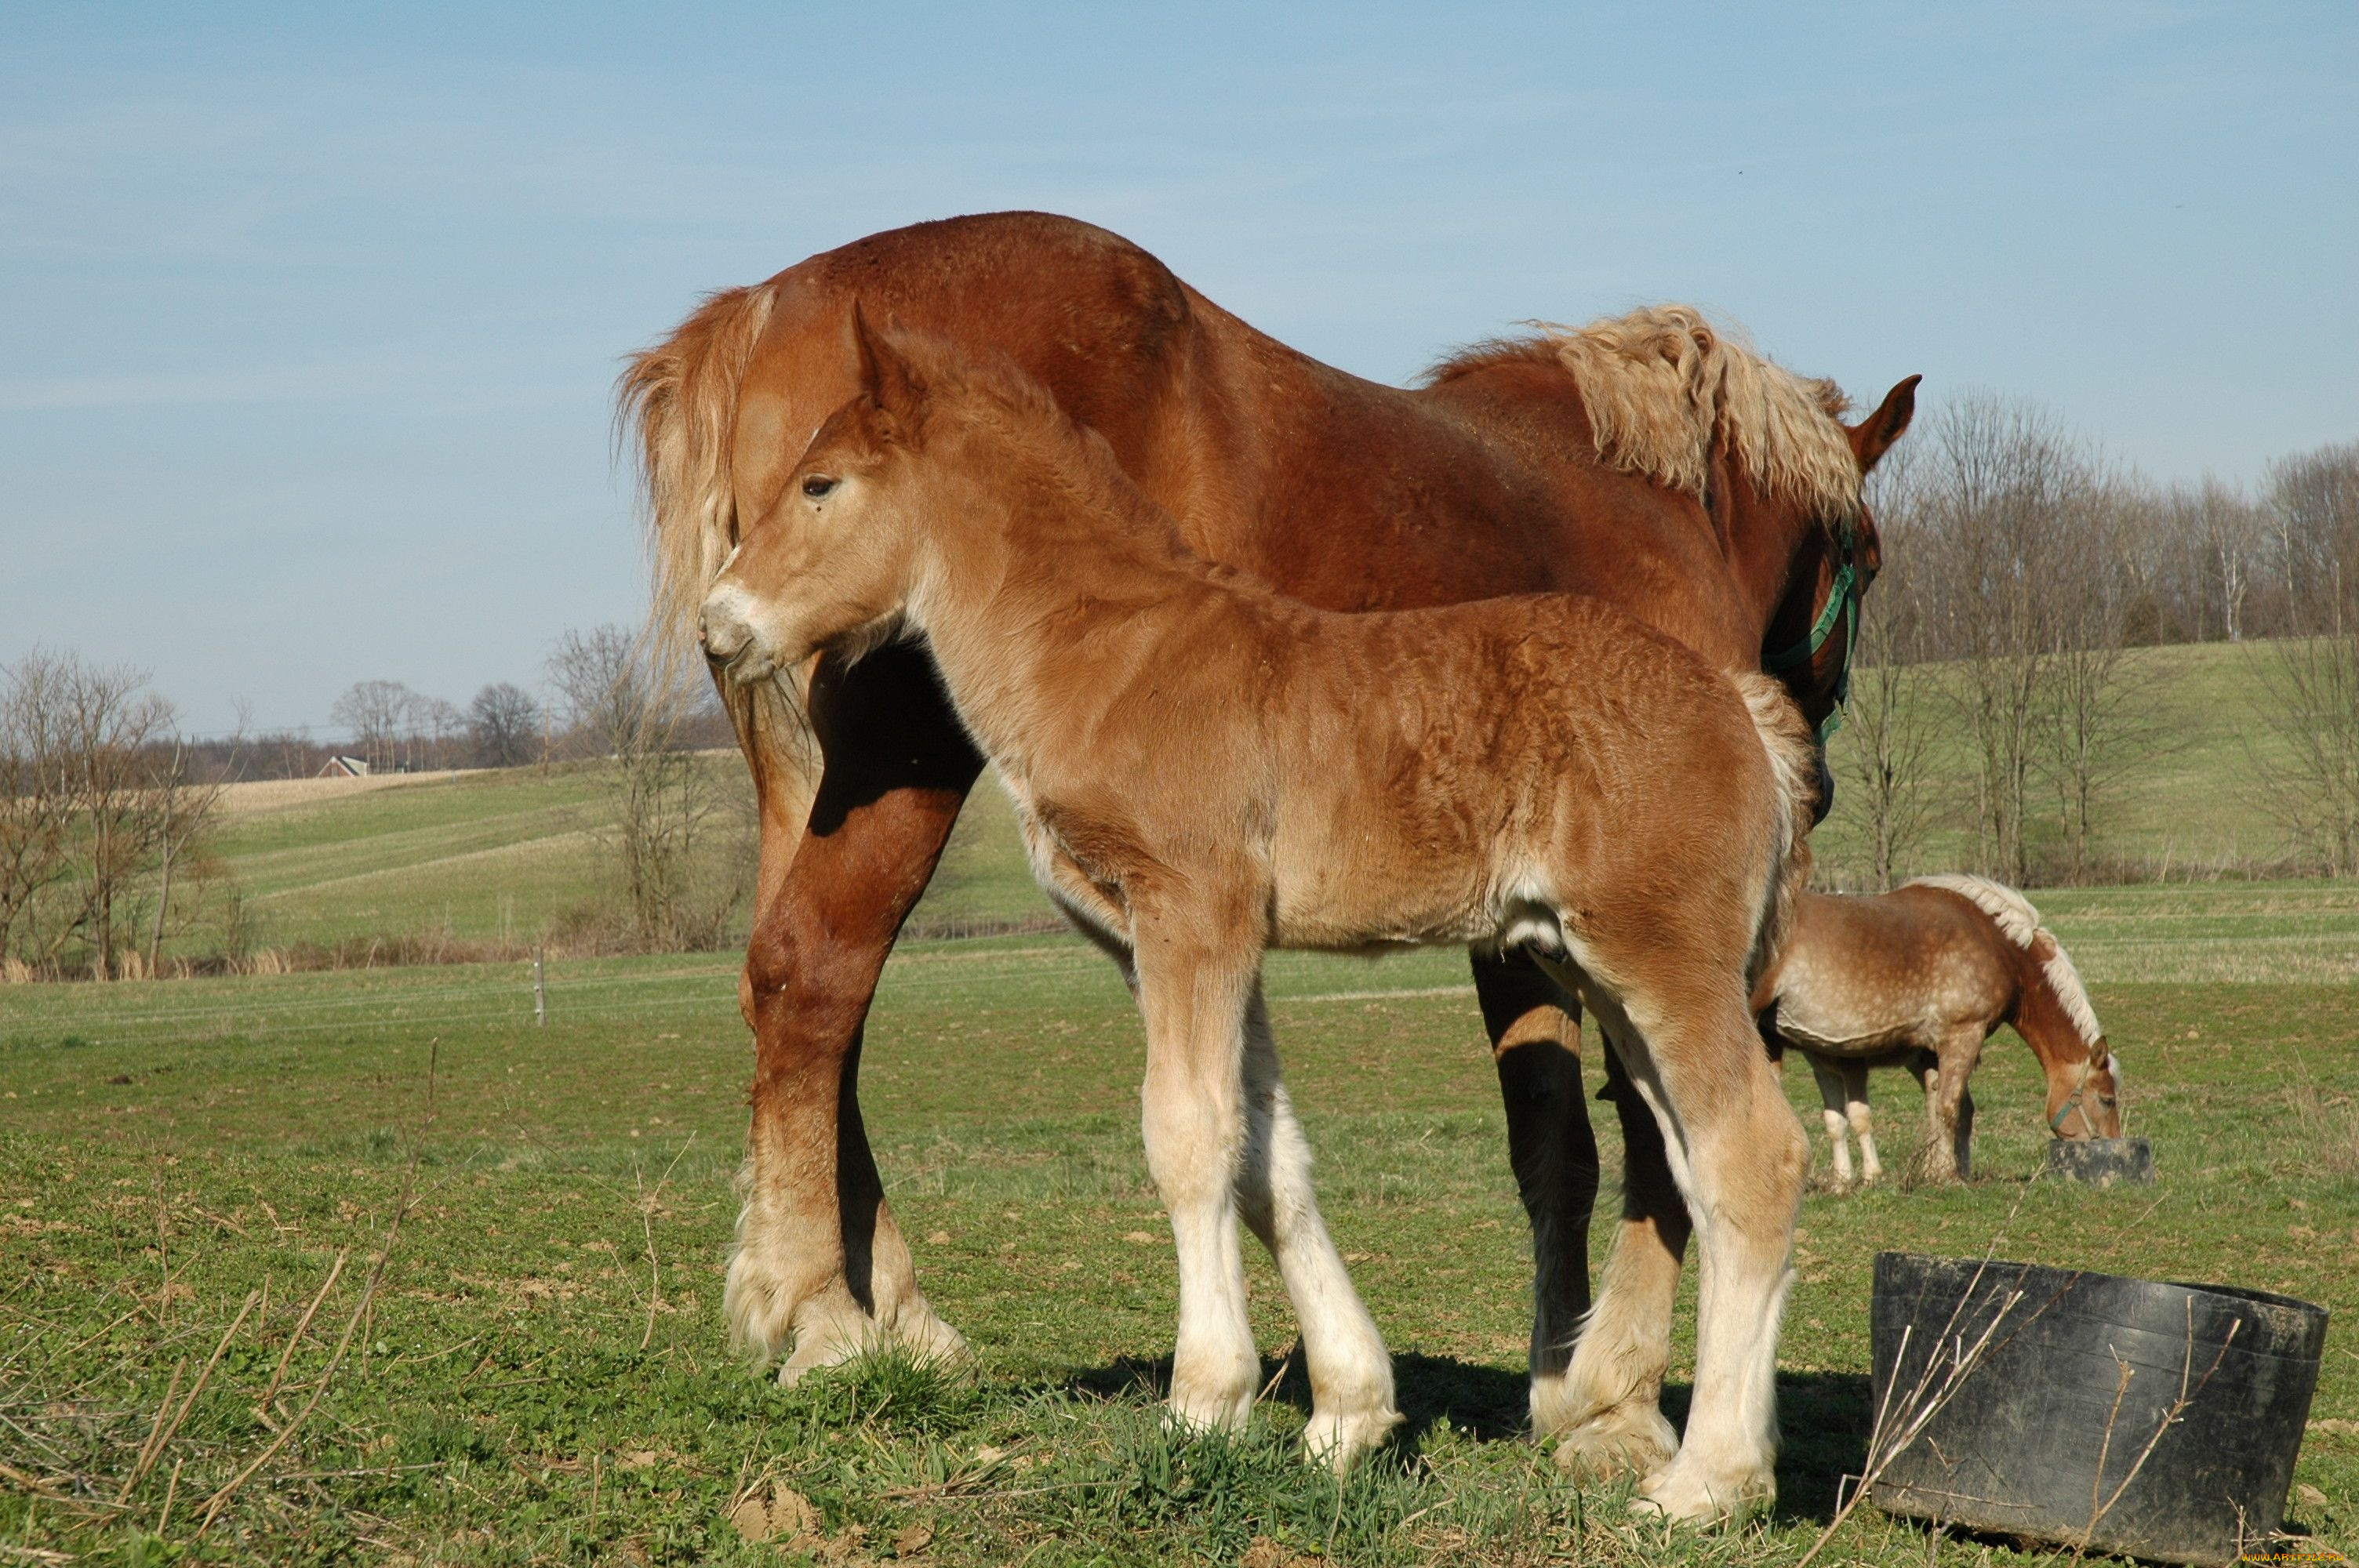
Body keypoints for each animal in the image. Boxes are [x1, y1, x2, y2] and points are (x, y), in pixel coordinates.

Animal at [618, 214, 1925, 1471]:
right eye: (1861, 557)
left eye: (823, 485)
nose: (723, 622)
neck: (1123, 644)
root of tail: (1735, 706)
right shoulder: (1182, 936)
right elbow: (1269, 1154)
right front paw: (1351, 1408)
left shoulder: (1196, 919)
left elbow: (1196, 1138)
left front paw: (1212, 1400)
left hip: (1656, 961)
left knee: (1745, 1157)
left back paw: (1703, 1480)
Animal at [1754, 872, 2123, 1178]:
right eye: (2107, 1099)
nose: (2114, 1149)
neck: (1996, 944)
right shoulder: (1963, 1036)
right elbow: (1949, 1107)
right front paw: (1949, 1175)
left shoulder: (1931, 1050)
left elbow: (1938, 1108)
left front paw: (1937, 1171)